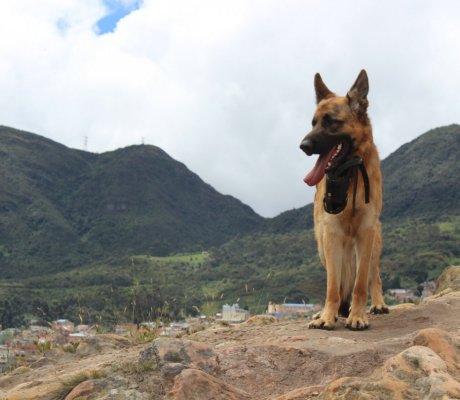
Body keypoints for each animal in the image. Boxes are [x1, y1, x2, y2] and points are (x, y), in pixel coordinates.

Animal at [300, 70, 390, 330]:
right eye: (313, 122)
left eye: (331, 121)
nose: (303, 146)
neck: (350, 172)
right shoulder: (331, 234)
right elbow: (333, 285)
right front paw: (328, 316)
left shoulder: (366, 232)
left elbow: (360, 284)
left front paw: (357, 315)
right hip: (322, 245)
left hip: (374, 242)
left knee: (373, 275)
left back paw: (377, 304)